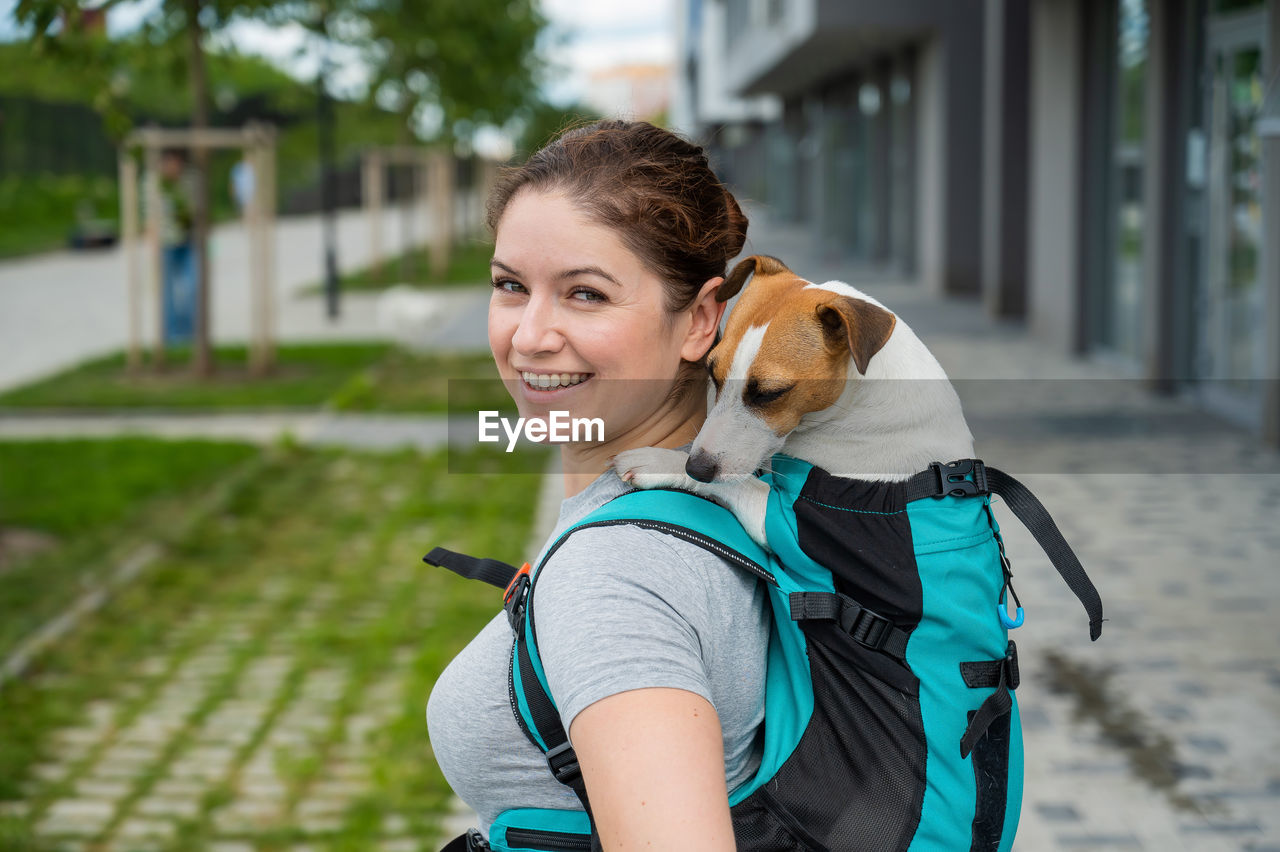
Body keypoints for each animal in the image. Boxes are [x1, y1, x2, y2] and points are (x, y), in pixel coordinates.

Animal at [614, 252, 972, 544]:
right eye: (712, 372)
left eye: (770, 393)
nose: (697, 467)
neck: (853, 404)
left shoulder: (789, 523)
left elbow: (740, 483)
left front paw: (658, 462)